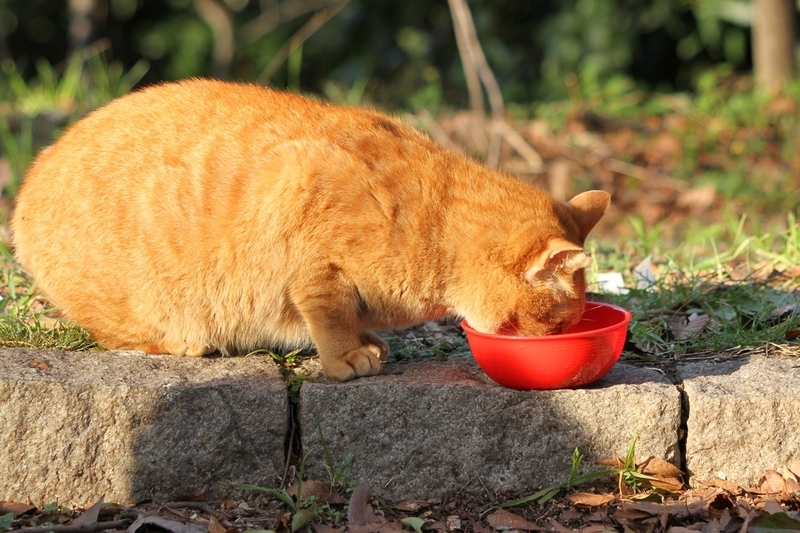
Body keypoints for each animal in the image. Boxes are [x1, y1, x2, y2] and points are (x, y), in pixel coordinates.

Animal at [12, 78, 608, 378]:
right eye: (559, 324)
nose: (554, 343)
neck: (432, 225)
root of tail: (26, 185)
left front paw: (368, 341)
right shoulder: (309, 246)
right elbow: (330, 316)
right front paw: (346, 357)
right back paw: (186, 344)